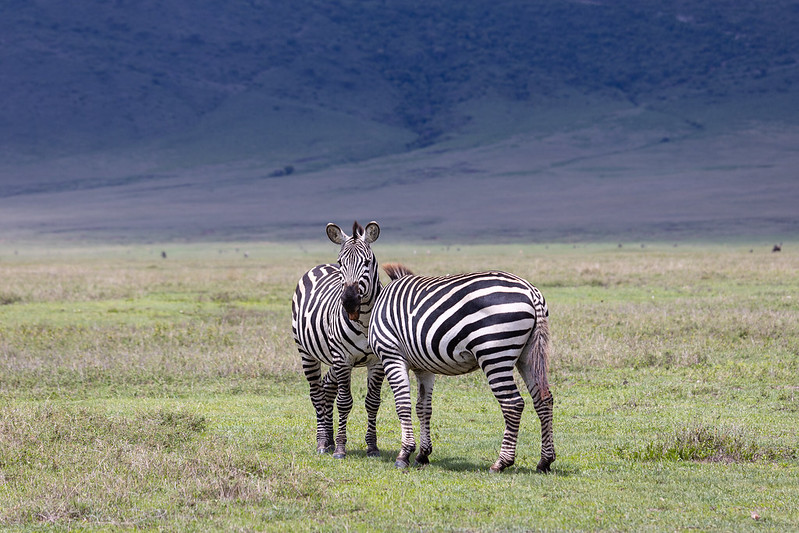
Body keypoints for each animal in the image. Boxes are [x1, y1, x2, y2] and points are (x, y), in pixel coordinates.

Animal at [290, 219, 384, 458]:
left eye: (367, 262)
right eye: (341, 262)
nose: (349, 301)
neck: (364, 320)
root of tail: (320, 266)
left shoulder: (377, 362)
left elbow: (372, 402)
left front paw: (372, 446)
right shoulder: (343, 358)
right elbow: (344, 402)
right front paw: (340, 447)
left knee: (327, 388)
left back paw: (329, 440)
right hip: (306, 353)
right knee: (317, 394)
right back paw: (323, 442)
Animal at [368, 264, 556, 472]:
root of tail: (531, 291)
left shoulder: (392, 355)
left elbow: (403, 404)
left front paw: (404, 454)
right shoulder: (423, 366)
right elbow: (423, 407)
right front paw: (423, 455)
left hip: (495, 354)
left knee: (513, 404)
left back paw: (501, 462)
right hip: (528, 356)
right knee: (543, 400)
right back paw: (545, 461)